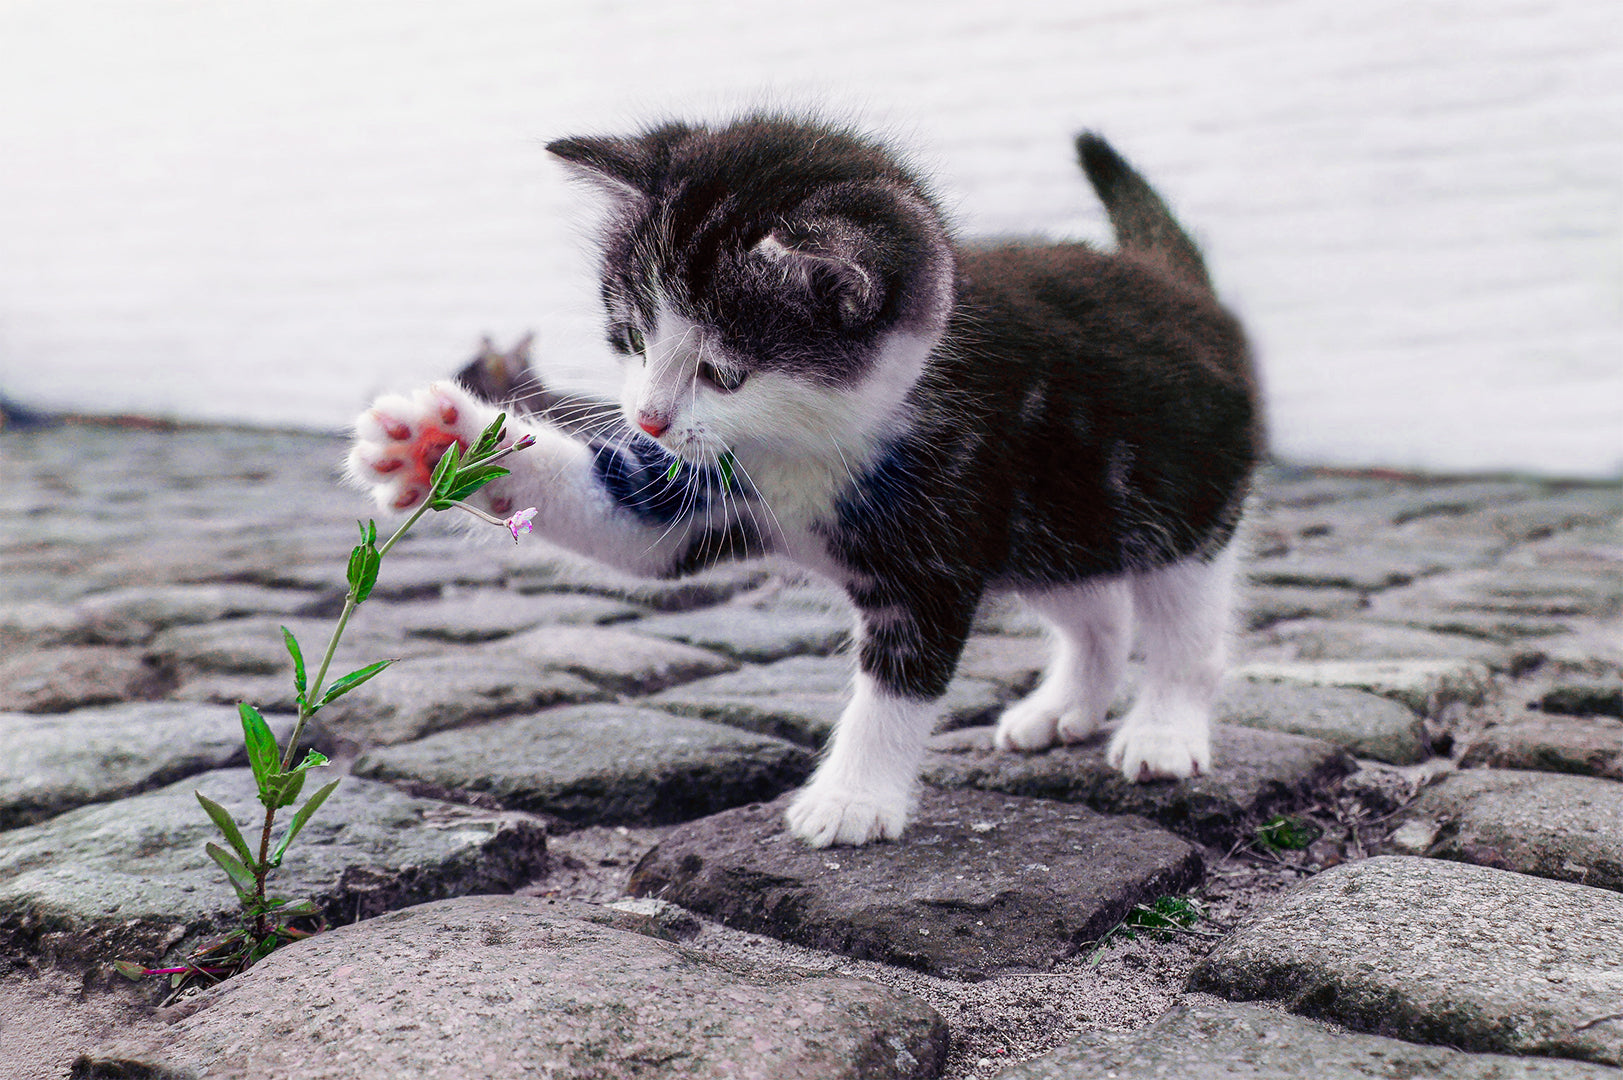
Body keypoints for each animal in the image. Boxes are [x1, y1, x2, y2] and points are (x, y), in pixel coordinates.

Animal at [348, 116, 1265, 844]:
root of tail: (1177, 283)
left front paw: (852, 799)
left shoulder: (943, 530)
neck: (810, 441)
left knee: (1182, 622)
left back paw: (1163, 730)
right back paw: (1063, 707)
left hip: (1178, 500)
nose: (647, 418)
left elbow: (899, 680)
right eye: (632, 337)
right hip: (1056, 521)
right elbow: (630, 523)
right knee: (1095, 608)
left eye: (723, 372)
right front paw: (440, 442)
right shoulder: (703, 489)